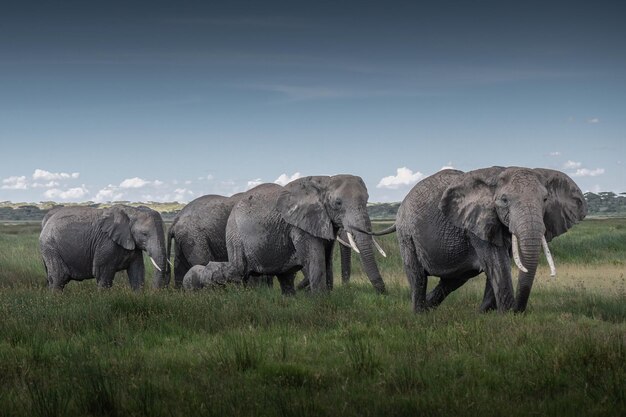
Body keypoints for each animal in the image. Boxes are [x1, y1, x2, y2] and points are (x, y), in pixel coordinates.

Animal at [40, 204, 169, 290]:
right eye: (144, 234)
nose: (155, 292)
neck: (132, 210)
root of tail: (46, 220)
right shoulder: (106, 242)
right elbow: (102, 274)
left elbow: (137, 272)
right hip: (50, 246)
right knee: (59, 277)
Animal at [180, 174, 386, 294]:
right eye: (338, 203)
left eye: (367, 200)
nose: (383, 294)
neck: (324, 180)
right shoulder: (299, 226)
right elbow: (315, 259)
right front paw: (320, 301)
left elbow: (326, 258)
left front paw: (327, 297)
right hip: (234, 234)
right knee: (239, 268)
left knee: (285, 276)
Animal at [368, 166, 584, 312]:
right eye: (504, 200)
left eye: (545, 200)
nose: (519, 311)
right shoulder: (476, 223)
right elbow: (497, 264)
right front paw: (507, 317)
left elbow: (497, 267)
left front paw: (484, 315)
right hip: (407, 234)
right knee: (417, 275)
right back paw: (419, 315)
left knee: (454, 280)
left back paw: (429, 308)